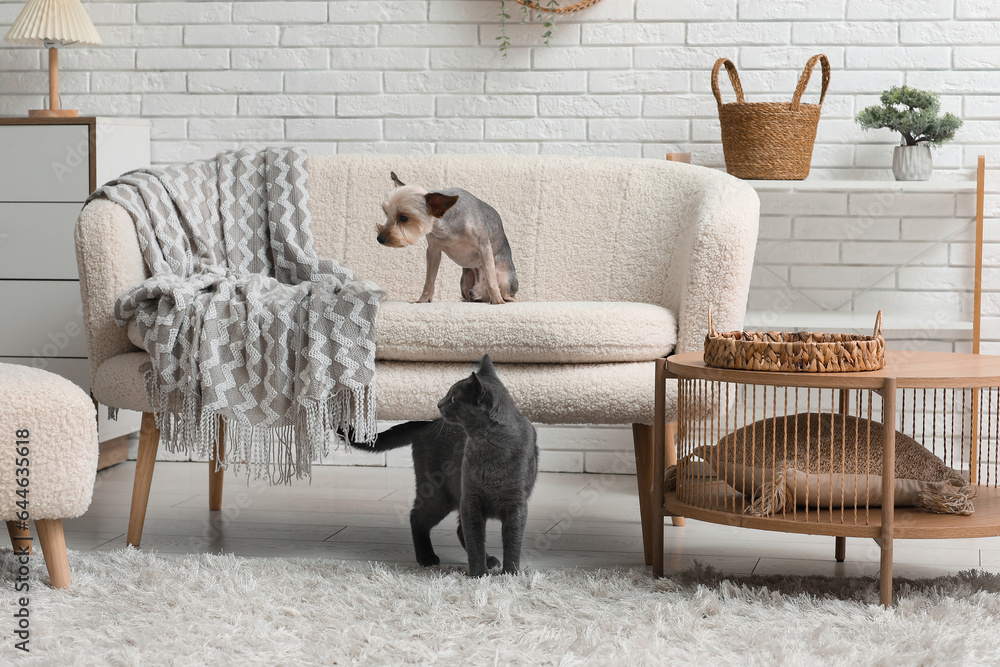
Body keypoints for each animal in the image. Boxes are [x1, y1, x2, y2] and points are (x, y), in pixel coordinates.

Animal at [360, 354, 540, 580]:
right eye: (448, 395)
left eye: (454, 398)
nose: (438, 403)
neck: (490, 449)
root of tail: (428, 423)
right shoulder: (471, 499)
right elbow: (475, 540)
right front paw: (479, 575)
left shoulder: (516, 505)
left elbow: (513, 543)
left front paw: (510, 575)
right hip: (439, 495)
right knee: (417, 518)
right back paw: (427, 558)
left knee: (456, 530)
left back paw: (489, 561)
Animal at [374, 174, 516, 306]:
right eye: (386, 213)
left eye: (403, 218)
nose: (380, 238)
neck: (446, 227)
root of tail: (482, 294)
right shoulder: (433, 251)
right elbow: (429, 280)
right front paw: (423, 300)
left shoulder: (484, 247)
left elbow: (491, 278)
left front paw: (497, 300)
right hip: (465, 282)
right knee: (469, 296)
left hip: (505, 279)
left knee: (508, 294)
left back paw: (501, 298)